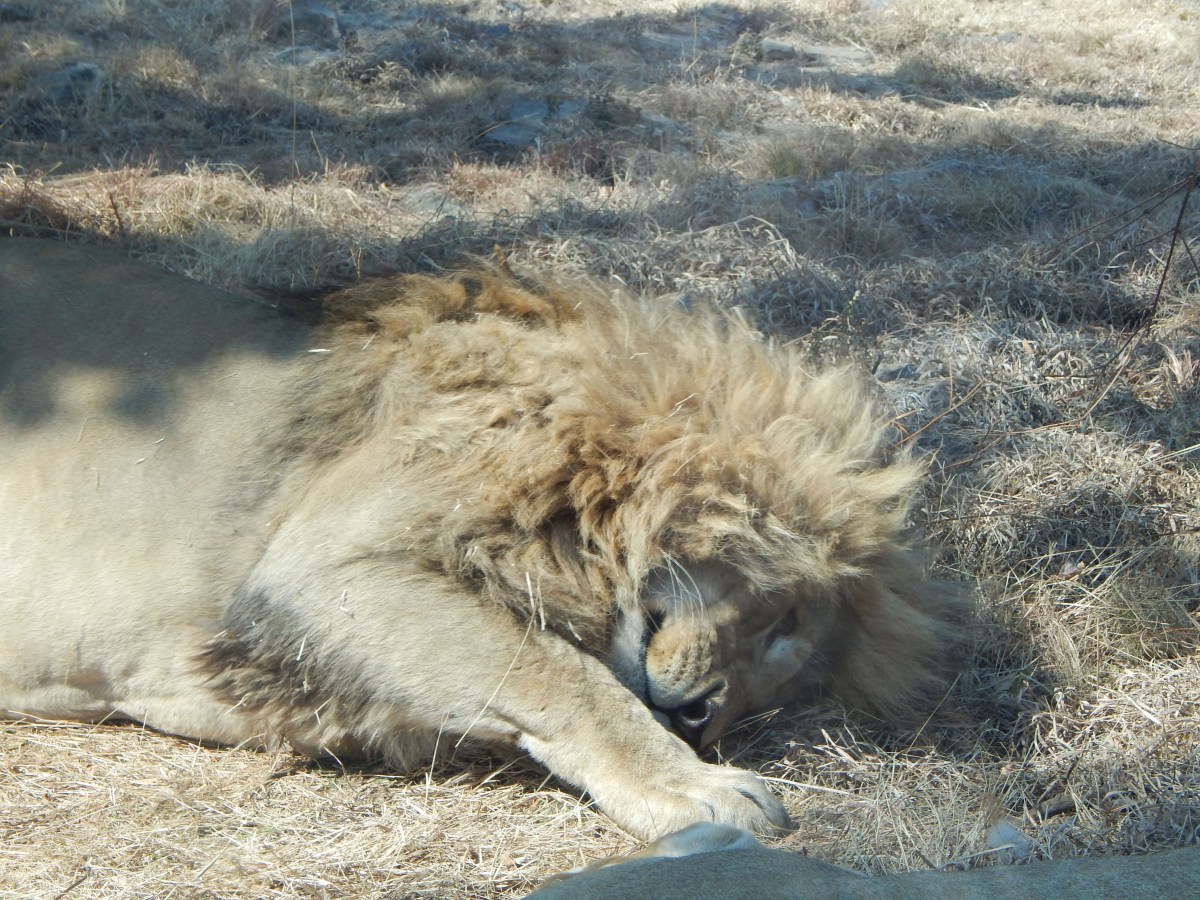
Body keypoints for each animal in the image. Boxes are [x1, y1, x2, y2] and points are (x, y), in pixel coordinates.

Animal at [0, 237, 960, 840]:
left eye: (784, 680)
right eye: (780, 618)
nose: (704, 717)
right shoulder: (328, 566)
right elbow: (560, 675)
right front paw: (695, 786)